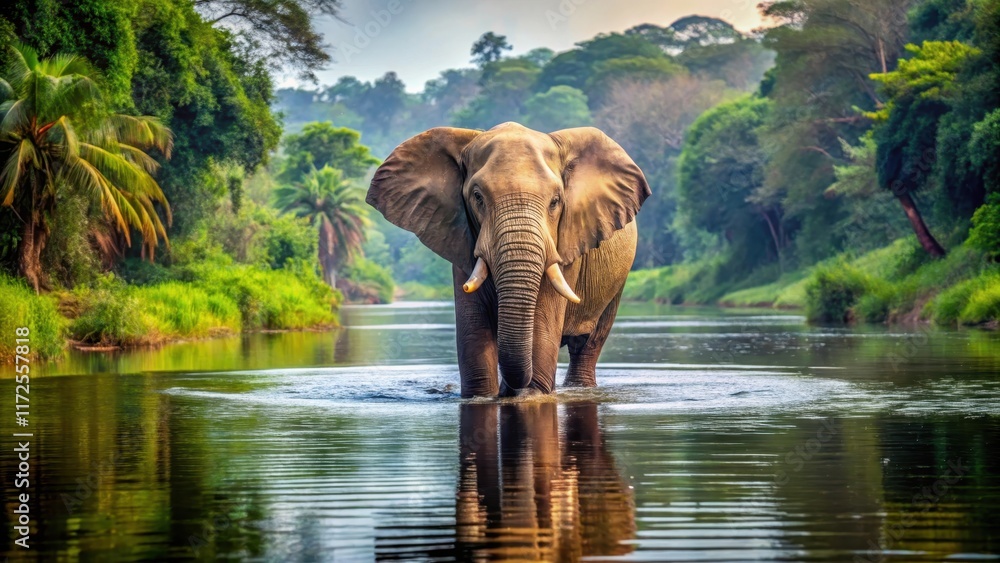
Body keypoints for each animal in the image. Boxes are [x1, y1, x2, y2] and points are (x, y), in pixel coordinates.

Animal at [367, 122, 649, 398]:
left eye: (555, 201)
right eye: (477, 197)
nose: (509, 389)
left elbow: (542, 325)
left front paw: (528, 394)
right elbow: (474, 330)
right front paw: (486, 395)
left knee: (588, 344)